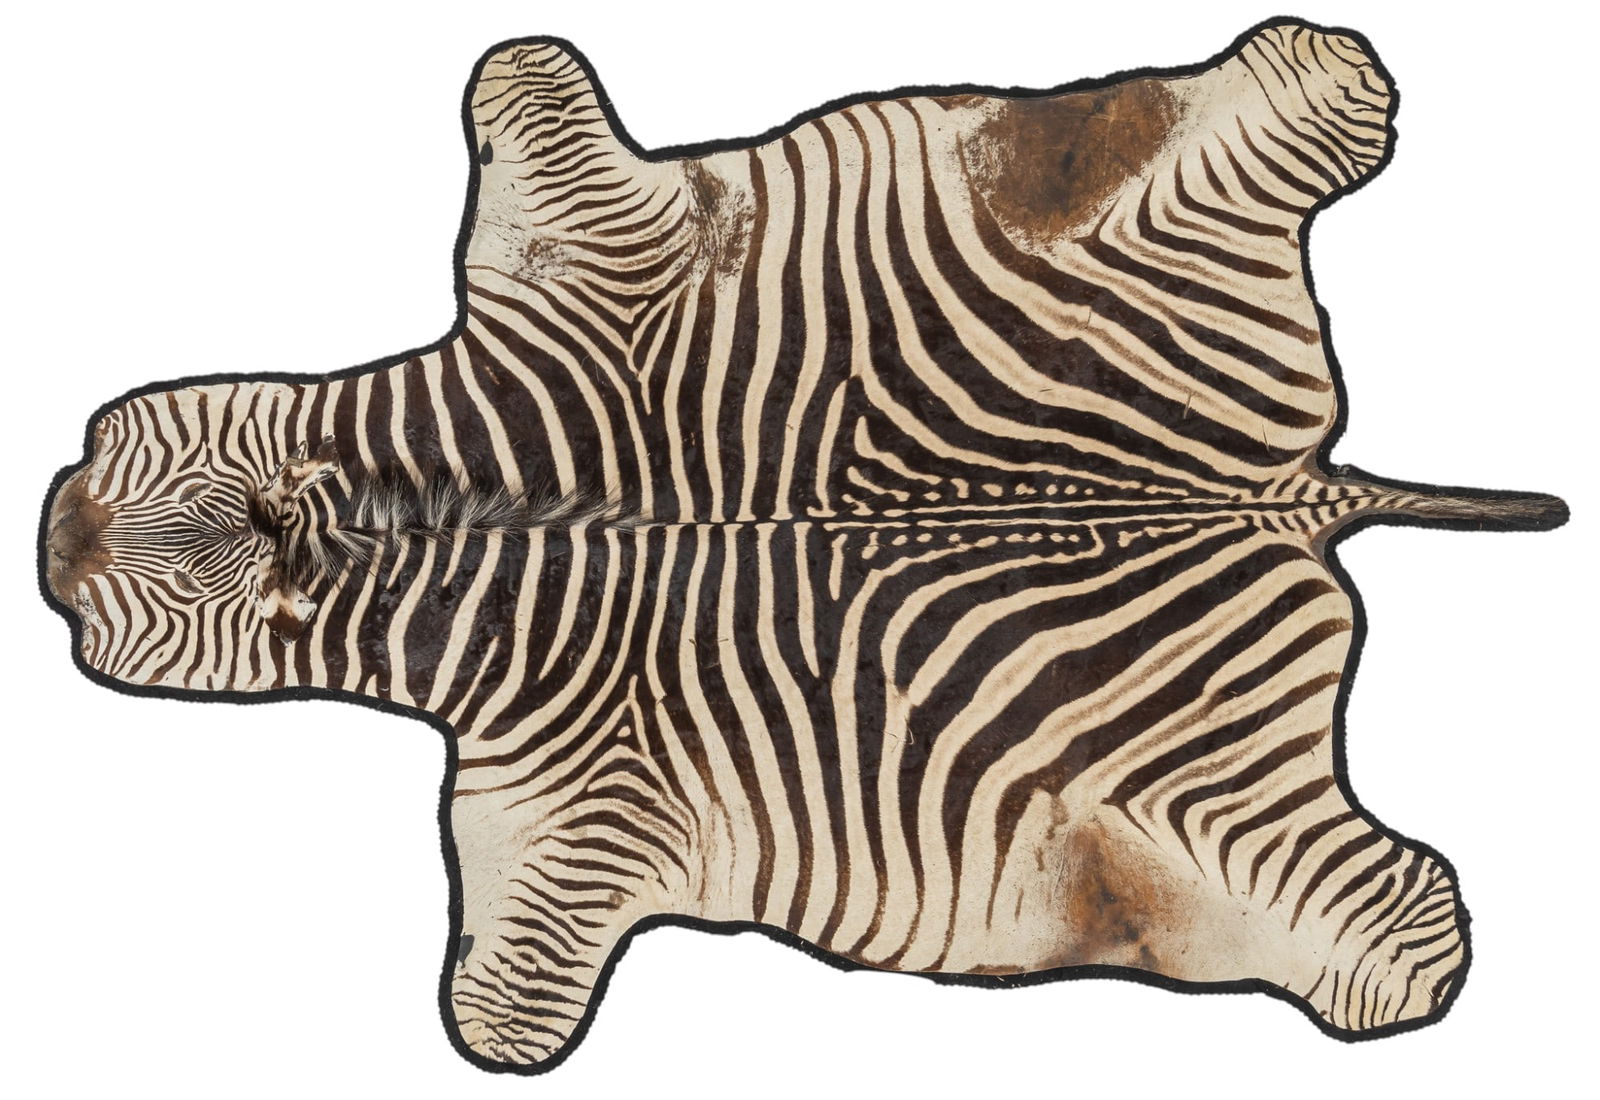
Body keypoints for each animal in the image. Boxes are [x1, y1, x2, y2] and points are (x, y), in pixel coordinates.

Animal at [40, 20, 1567, 1070]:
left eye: (107, 444)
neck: (432, 514)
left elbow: (522, 94)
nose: (54, 532)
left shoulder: (555, 798)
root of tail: (1295, 489)